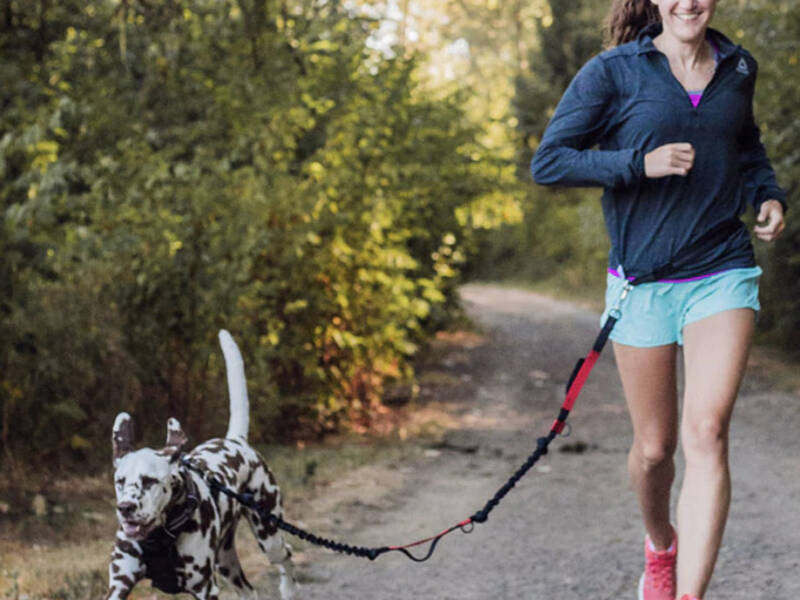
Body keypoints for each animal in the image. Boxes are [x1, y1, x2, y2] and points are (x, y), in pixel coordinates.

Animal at [103, 330, 296, 596]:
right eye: (120, 481)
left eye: (150, 481)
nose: (126, 508)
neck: (159, 537)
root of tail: (235, 439)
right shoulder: (119, 584)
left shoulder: (205, 588)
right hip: (226, 561)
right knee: (248, 591)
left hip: (269, 535)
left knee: (286, 556)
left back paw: (289, 589)